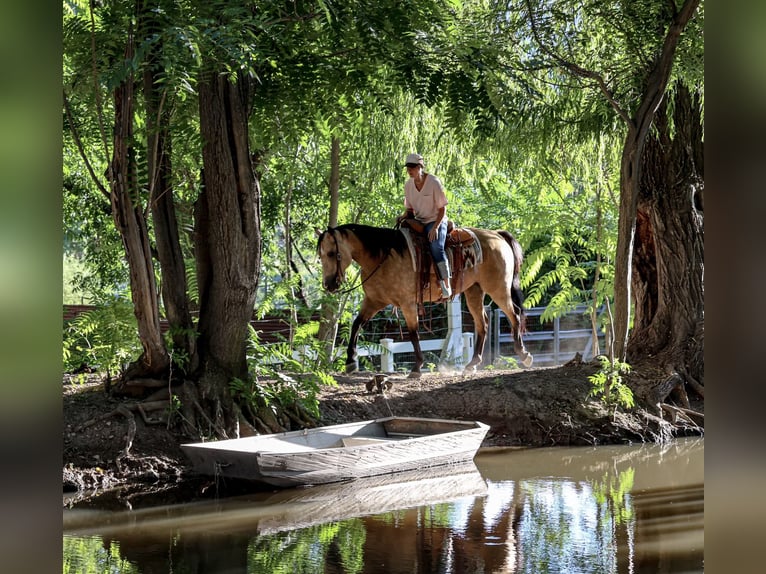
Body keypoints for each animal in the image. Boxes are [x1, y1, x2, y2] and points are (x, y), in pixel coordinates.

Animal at [318, 223, 536, 380]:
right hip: (474, 291)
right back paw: (472, 364)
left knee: (514, 315)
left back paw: (524, 355)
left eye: (331, 253)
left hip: (499, 290)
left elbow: (413, 334)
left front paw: (416, 367)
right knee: (482, 323)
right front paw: (350, 361)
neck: (382, 257)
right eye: (321, 255)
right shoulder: (373, 301)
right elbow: (356, 325)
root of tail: (497, 235)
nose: (329, 284)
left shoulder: (407, 303)